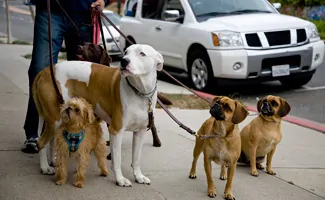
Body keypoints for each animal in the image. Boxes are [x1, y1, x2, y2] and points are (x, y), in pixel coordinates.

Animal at [32, 43, 162, 188]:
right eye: (126, 52)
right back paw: (44, 167)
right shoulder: (116, 131)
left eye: (142, 54)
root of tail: (45, 71)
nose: (123, 61)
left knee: (51, 140)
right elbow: (117, 160)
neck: (140, 91)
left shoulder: (140, 132)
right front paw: (120, 179)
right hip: (54, 120)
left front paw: (138, 176)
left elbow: (136, 158)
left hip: (57, 119)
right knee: (41, 142)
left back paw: (53, 161)